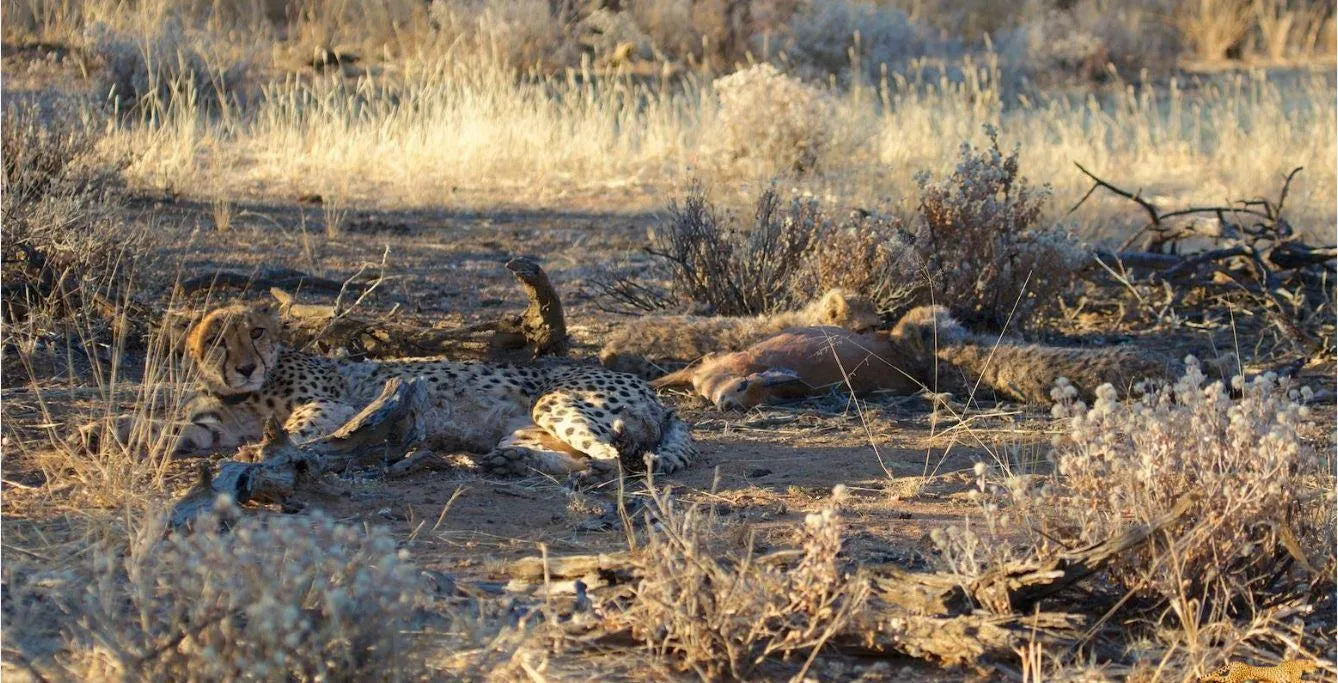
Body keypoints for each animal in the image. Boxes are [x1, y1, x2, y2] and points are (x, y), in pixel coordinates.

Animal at [112, 301, 694, 478]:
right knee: (585, 459)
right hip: (527, 429)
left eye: (255, 332)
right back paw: (499, 462)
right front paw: (110, 433)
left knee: (613, 456)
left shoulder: (330, 402)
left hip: (557, 402)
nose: (245, 367)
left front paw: (271, 449)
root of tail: (654, 393)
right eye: (216, 339)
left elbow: (299, 425)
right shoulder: (214, 422)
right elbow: (174, 429)